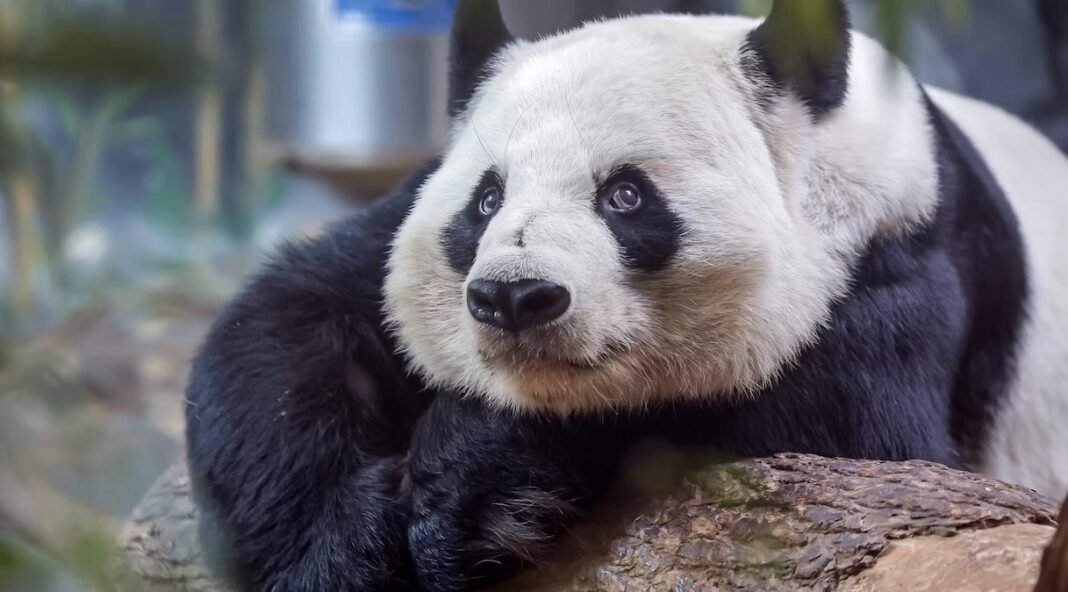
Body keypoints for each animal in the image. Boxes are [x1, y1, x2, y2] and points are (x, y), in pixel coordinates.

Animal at [183, 1, 1068, 590]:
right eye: (486, 200)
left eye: (626, 196)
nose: (514, 297)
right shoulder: (394, 223)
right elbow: (286, 328)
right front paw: (339, 549)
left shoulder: (903, 257)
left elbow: (851, 439)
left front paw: (473, 488)